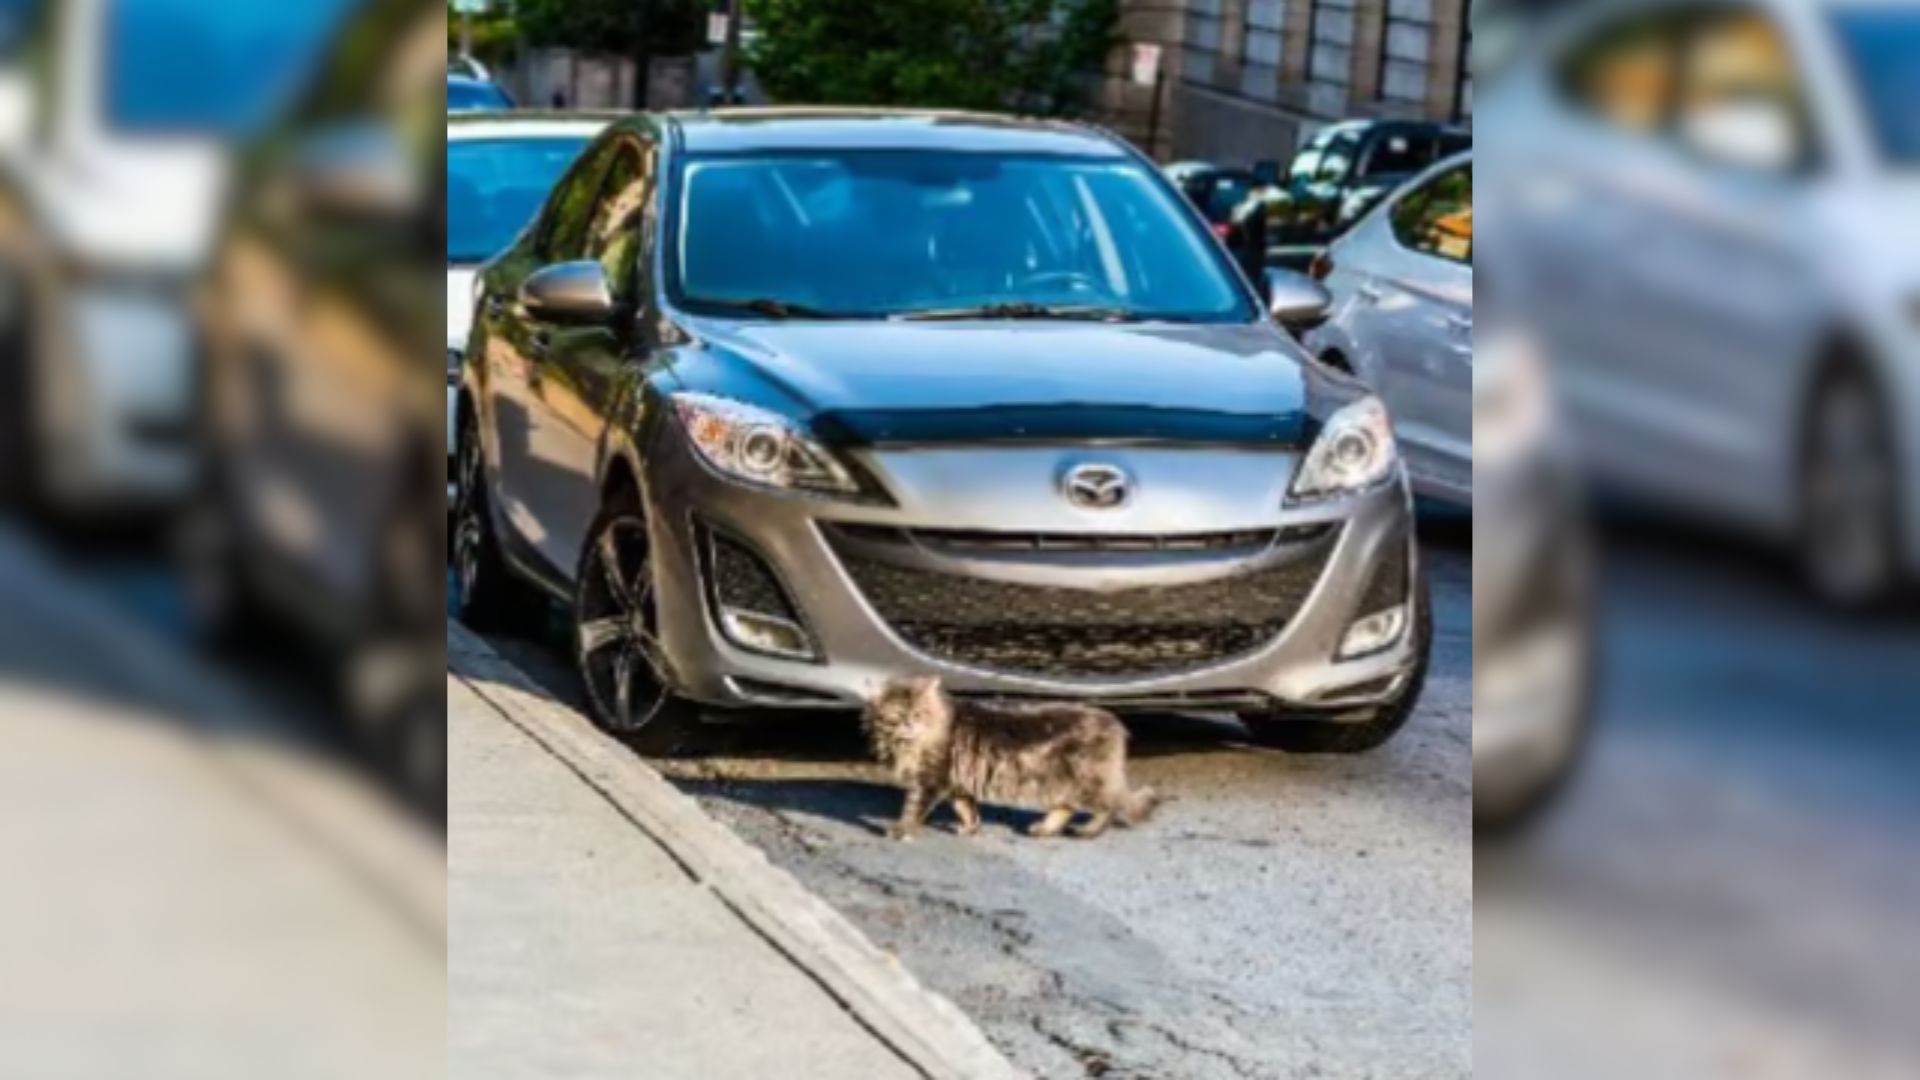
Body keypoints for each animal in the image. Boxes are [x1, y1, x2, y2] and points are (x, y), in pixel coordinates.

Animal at [867, 672, 1159, 841]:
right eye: (899, 714)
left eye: (919, 713)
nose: (910, 724)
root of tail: (1115, 723)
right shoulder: (956, 783)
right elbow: (966, 809)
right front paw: (971, 829)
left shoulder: (930, 780)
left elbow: (913, 809)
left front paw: (901, 830)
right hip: (1059, 783)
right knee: (1066, 807)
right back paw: (1043, 829)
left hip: (1087, 782)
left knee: (1111, 806)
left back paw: (1087, 831)